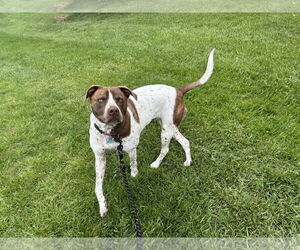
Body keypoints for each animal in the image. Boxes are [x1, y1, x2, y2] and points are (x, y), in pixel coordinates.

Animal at [84, 49, 214, 217]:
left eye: (120, 99)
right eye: (101, 99)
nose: (113, 110)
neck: (110, 132)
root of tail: (178, 90)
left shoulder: (131, 149)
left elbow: (133, 165)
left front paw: (134, 176)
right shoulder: (100, 157)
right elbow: (98, 186)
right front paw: (102, 205)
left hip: (165, 131)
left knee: (165, 149)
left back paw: (156, 163)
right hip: (170, 127)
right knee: (185, 141)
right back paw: (188, 161)